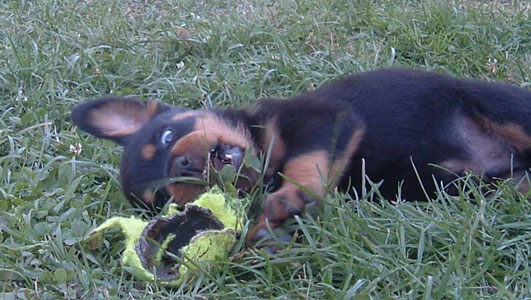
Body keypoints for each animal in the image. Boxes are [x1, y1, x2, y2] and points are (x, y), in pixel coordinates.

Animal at [71, 68, 531, 241]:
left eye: (167, 136)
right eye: (164, 199)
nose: (181, 165)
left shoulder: (326, 120)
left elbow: (305, 161)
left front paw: (290, 197)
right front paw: (267, 235)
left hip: (500, 107)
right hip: (474, 184)